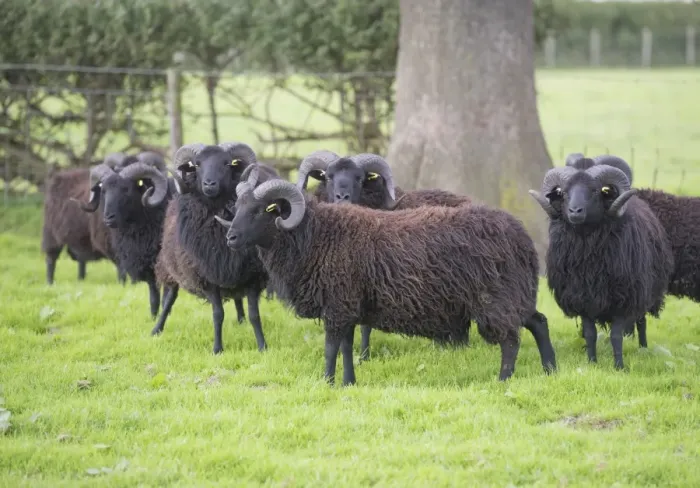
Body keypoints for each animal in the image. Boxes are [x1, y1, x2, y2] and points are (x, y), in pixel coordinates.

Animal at [41, 154, 132, 285]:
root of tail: (59, 177)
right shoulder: (109, 243)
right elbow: (121, 267)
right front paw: (123, 284)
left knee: (81, 261)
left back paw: (81, 280)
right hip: (51, 235)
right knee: (51, 260)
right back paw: (50, 283)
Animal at [76, 151, 172, 318]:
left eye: (126, 189)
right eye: (103, 190)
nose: (108, 217)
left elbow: (165, 298)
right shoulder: (148, 267)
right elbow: (153, 299)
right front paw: (153, 318)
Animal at [152, 142, 279, 354]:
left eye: (227, 163)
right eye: (197, 164)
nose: (209, 184)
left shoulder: (251, 275)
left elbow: (255, 315)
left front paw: (262, 346)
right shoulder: (207, 276)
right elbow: (218, 315)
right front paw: (217, 349)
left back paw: (241, 320)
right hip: (172, 268)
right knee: (169, 299)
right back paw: (156, 329)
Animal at [216, 178, 557, 385]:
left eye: (263, 210)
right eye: (237, 207)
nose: (230, 237)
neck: (317, 237)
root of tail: (521, 236)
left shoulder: (337, 306)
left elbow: (331, 348)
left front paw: (327, 382)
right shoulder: (347, 306)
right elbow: (346, 347)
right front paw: (348, 382)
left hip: (496, 298)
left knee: (511, 339)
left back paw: (504, 379)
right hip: (515, 294)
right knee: (538, 322)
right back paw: (549, 369)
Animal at [529, 160, 673, 369]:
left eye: (595, 191)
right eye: (564, 192)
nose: (574, 211)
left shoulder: (623, 298)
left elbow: (616, 335)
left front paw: (619, 366)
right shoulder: (582, 298)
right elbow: (590, 334)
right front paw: (592, 362)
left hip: (644, 291)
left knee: (641, 321)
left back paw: (643, 348)